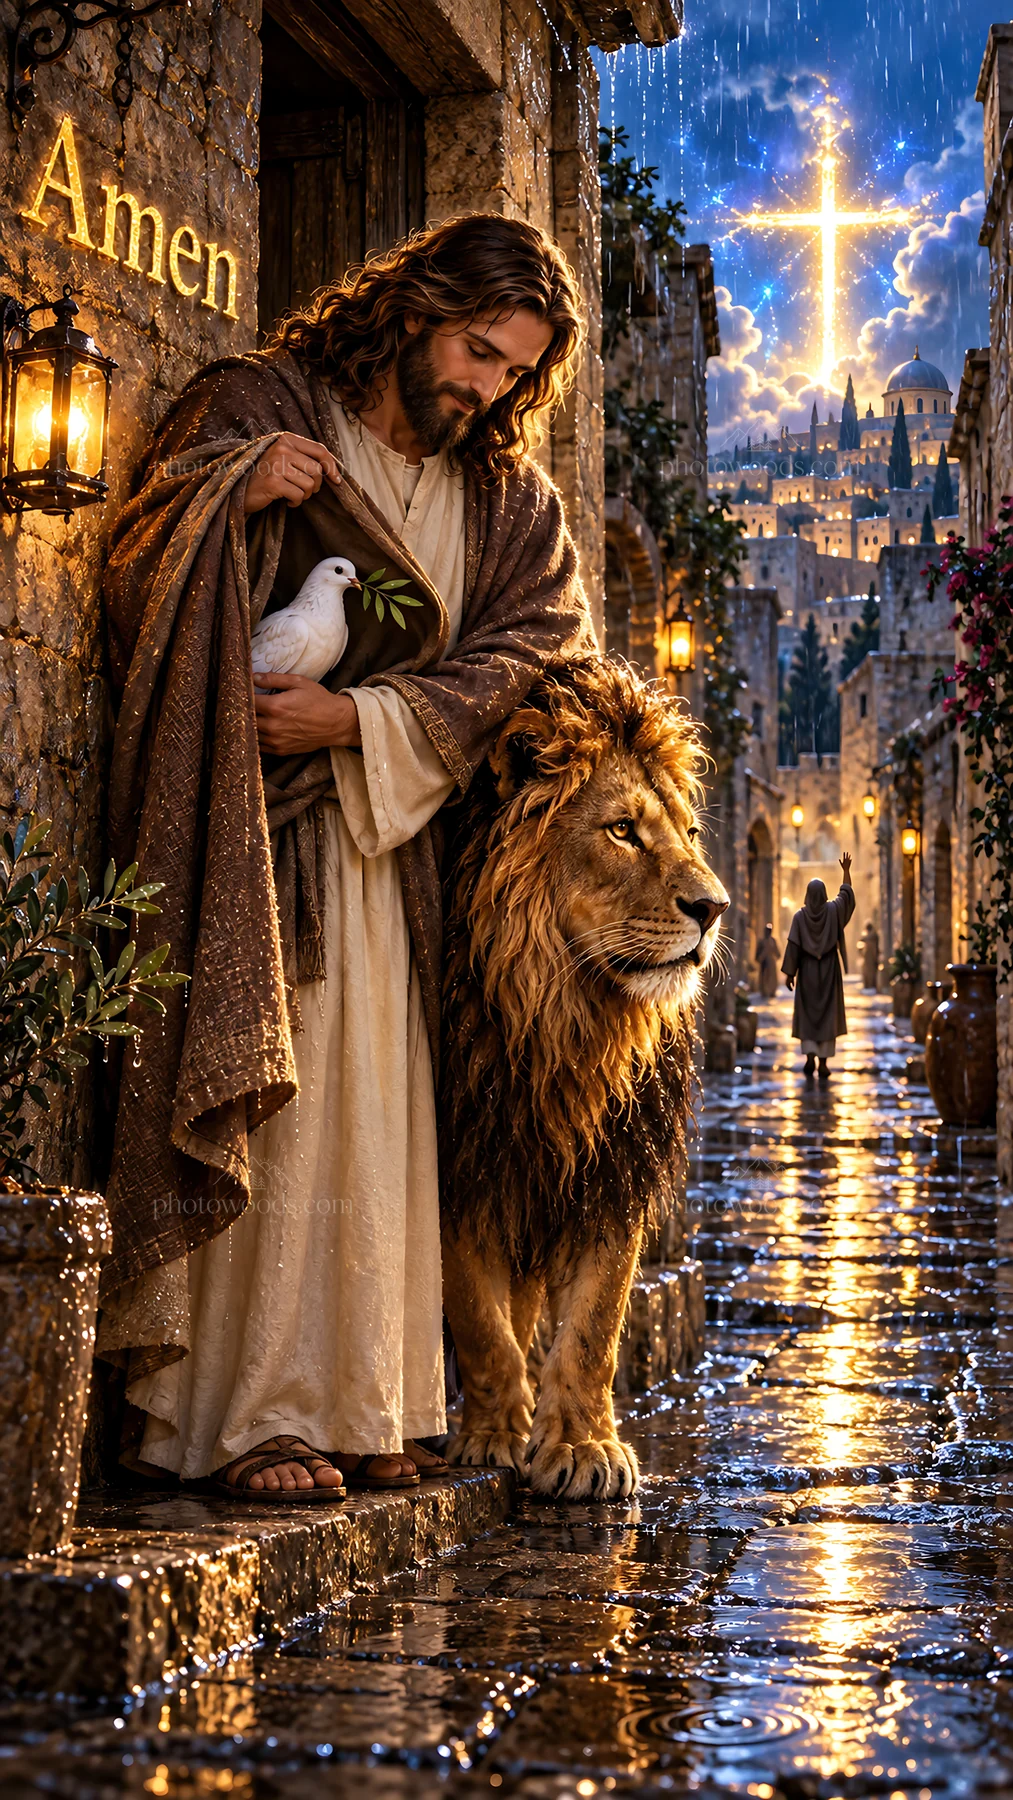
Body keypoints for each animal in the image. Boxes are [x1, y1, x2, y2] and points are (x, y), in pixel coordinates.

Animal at [439, 657, 729, 1501]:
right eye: (622, 831)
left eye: (689, 833)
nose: (714, 907)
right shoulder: (460, 1151)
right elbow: (478, 1318)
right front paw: (493, 1435)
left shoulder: (610, 1163)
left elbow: (595, 1322)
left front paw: (580, 1446)